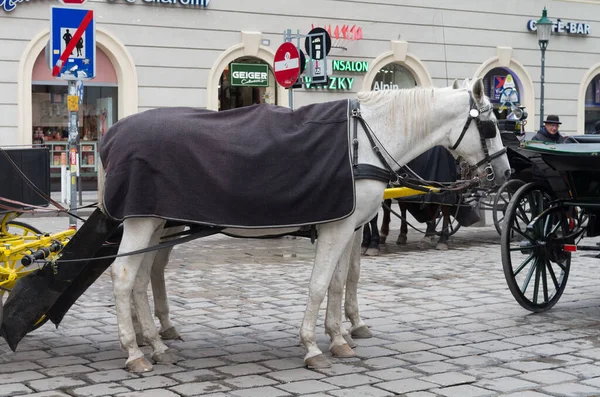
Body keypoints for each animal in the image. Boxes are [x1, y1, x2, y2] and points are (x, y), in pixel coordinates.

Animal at [105, 78, 508, 372]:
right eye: (490, 126)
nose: (504, 172)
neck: (365, 140)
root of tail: (114, 136)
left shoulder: (350, 229)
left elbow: (340, 282)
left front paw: (340, 337)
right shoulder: (338, 229)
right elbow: (319, 285)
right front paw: (314, 345)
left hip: (158, 224)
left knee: (143, 278)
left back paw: (156, 343)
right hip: (143, 222)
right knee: (124, 277)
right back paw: (134, 351)